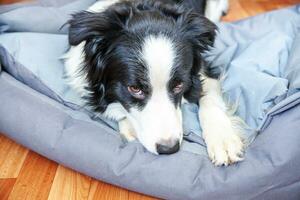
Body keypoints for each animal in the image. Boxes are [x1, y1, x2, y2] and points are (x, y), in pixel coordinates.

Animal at [63, 0, 244, 166]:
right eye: (134, 88)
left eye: (179, 85)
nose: (169, 149)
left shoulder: (203, 70)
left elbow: (210, 99)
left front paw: (223, 140)